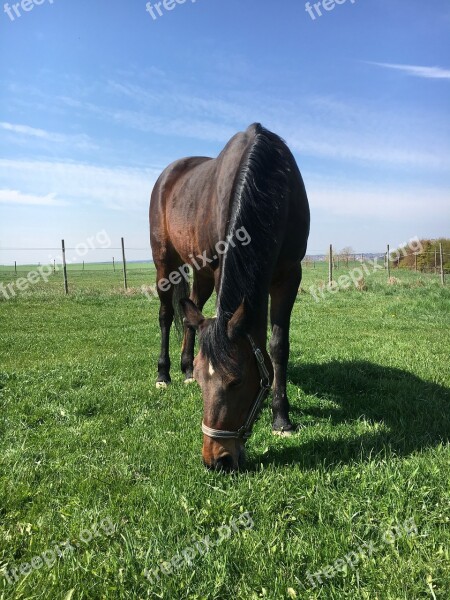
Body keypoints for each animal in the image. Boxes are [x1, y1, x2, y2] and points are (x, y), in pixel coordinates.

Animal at [150, 120, 310, 468]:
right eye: (203, 383)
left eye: (236, 380)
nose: (216, 459)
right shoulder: (222, 267)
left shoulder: (289, 274)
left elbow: (277, 346)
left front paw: (281, 418)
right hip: (165, 263)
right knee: (167, 315)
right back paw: (164, 374)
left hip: (200, 273)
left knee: (191, 311)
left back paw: (183, 366)